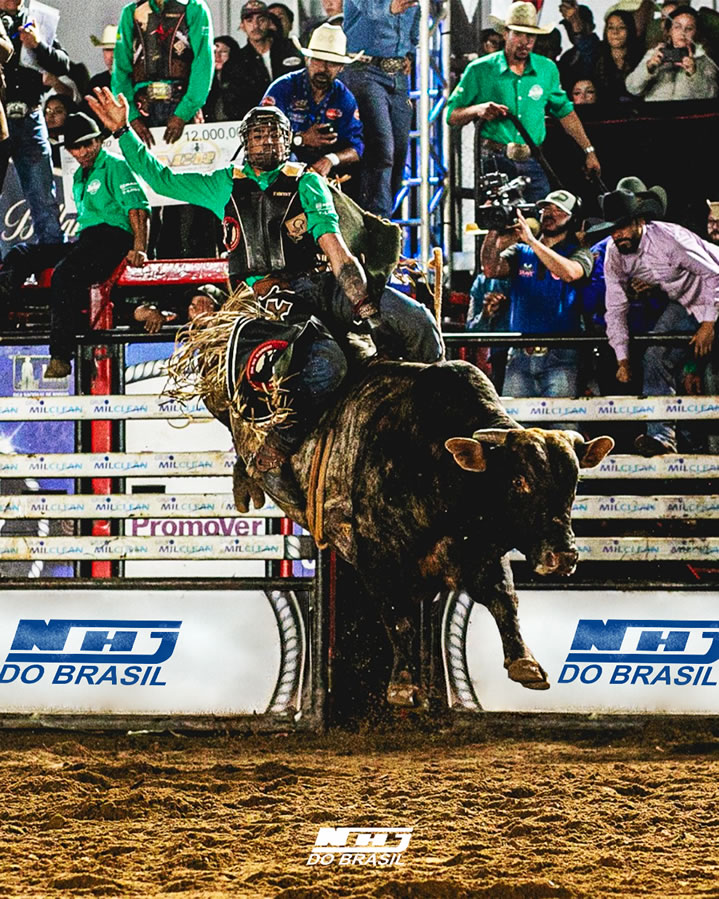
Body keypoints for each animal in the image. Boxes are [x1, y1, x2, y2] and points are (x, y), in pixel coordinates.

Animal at [179, 336, 613, 707]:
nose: (563, 556)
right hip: (224, 395)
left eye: (573, 483)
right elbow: (399, 618)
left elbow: (505, 599)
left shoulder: (481, 551)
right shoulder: (378, 559)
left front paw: (526, 664)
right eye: (519, 481)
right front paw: (403, 686)